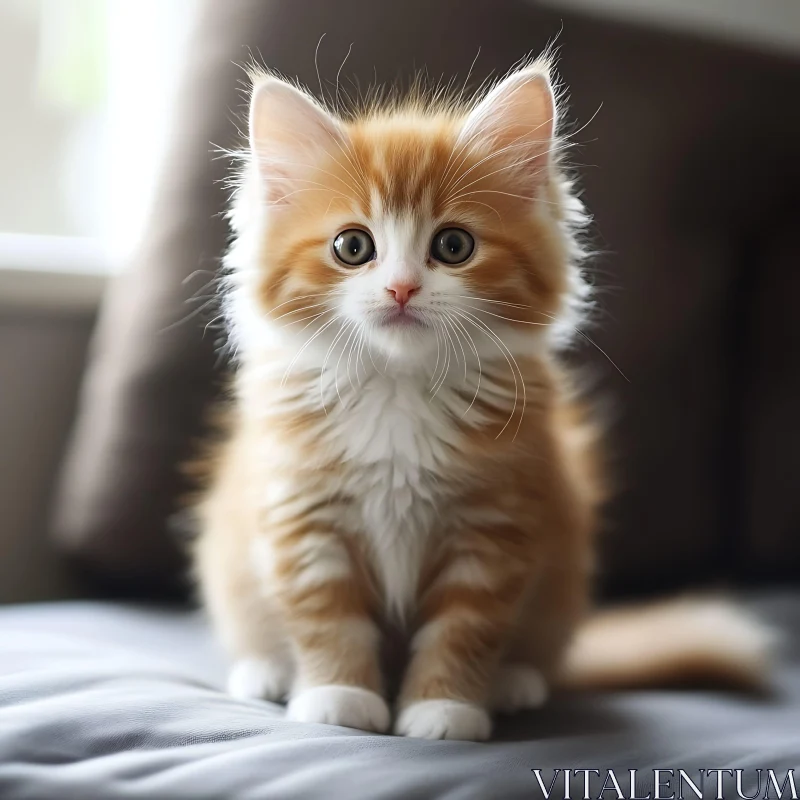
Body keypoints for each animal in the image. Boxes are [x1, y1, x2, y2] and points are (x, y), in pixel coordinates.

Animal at [191, 59, 772, 740]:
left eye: (453, 246)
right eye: (353, 247)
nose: (401, 289)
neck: (400, 388)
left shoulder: (495, 527)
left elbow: (463, 629)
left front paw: (443, 709)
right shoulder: (303, 518)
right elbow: (327, 617)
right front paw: (340, 695)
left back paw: (513, 683)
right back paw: (265, 672)